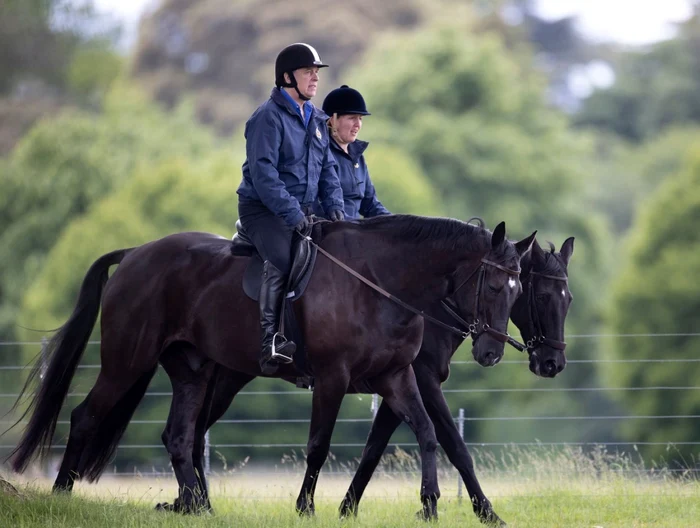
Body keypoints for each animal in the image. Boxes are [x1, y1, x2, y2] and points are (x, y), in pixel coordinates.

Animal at [8, 214, 532, 520]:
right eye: (493, 285)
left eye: (519, 290)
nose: (491, 353)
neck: (379, 282)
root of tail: (136, 253)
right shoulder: (334, 378)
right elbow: (319, 447)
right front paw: (305, 508)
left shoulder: (397, 377)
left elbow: (427, 434)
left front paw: (429, 504)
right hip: (127, 361)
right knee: (86, 417)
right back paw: (62, 496)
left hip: (195, 371)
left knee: (180, 435)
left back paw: (196, 506)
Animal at [160, 238, 576, 524]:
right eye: (540, 295)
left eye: (568, 299)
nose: (552, 362)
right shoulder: (422, 383)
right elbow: (454, 446)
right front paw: (484, 511)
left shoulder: (397, 385)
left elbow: (377, 448)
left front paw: (348, 507)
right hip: (223, 381)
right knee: (190, 434)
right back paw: (193, 503)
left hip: (220, 378)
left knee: (189, 434)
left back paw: (193, 503)